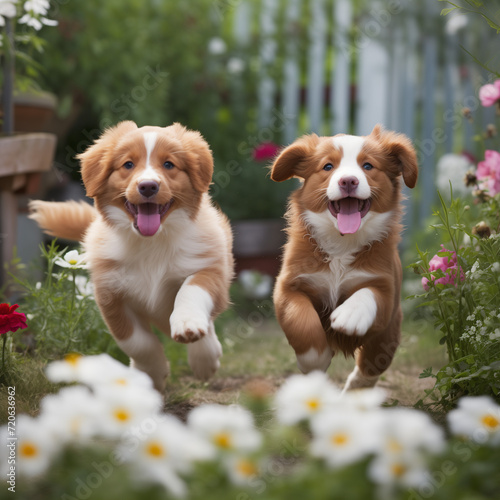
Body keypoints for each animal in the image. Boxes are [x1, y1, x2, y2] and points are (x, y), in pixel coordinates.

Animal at [30, 121, 233, 390]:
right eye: (128, 165)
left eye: (169, 164)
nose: (148, 186)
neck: (151, 243)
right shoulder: (110, 296)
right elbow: (137, 342)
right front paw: (153, 373)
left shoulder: (209, 266)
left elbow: (191, 291)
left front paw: (190, 329)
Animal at [270, 124, 418, 390]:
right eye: (328, 166)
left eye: (368, 166)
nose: (348, 180)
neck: (342, 243)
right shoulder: (289, 286)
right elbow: (301, 320)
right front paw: (315, 359)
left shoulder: (386, 289)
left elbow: (369, 294)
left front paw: (350, 315)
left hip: (389, 334)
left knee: (370, 367)